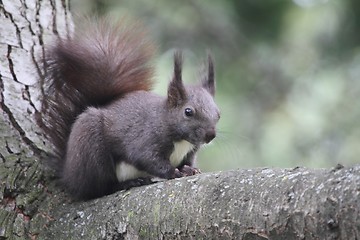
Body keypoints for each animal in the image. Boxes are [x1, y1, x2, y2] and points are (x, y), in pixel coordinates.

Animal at [40, 17, 219, 200]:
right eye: (188, 112)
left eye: (218, 114)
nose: (210, 135)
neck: (181, 139)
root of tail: (68, 172)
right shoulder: (146, 139)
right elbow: (147, 159)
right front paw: (173, 172)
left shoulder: (190, 152)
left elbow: (187, 162)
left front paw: (190, 169)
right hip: (91, 151)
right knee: (99, 188)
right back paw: (127, 183)